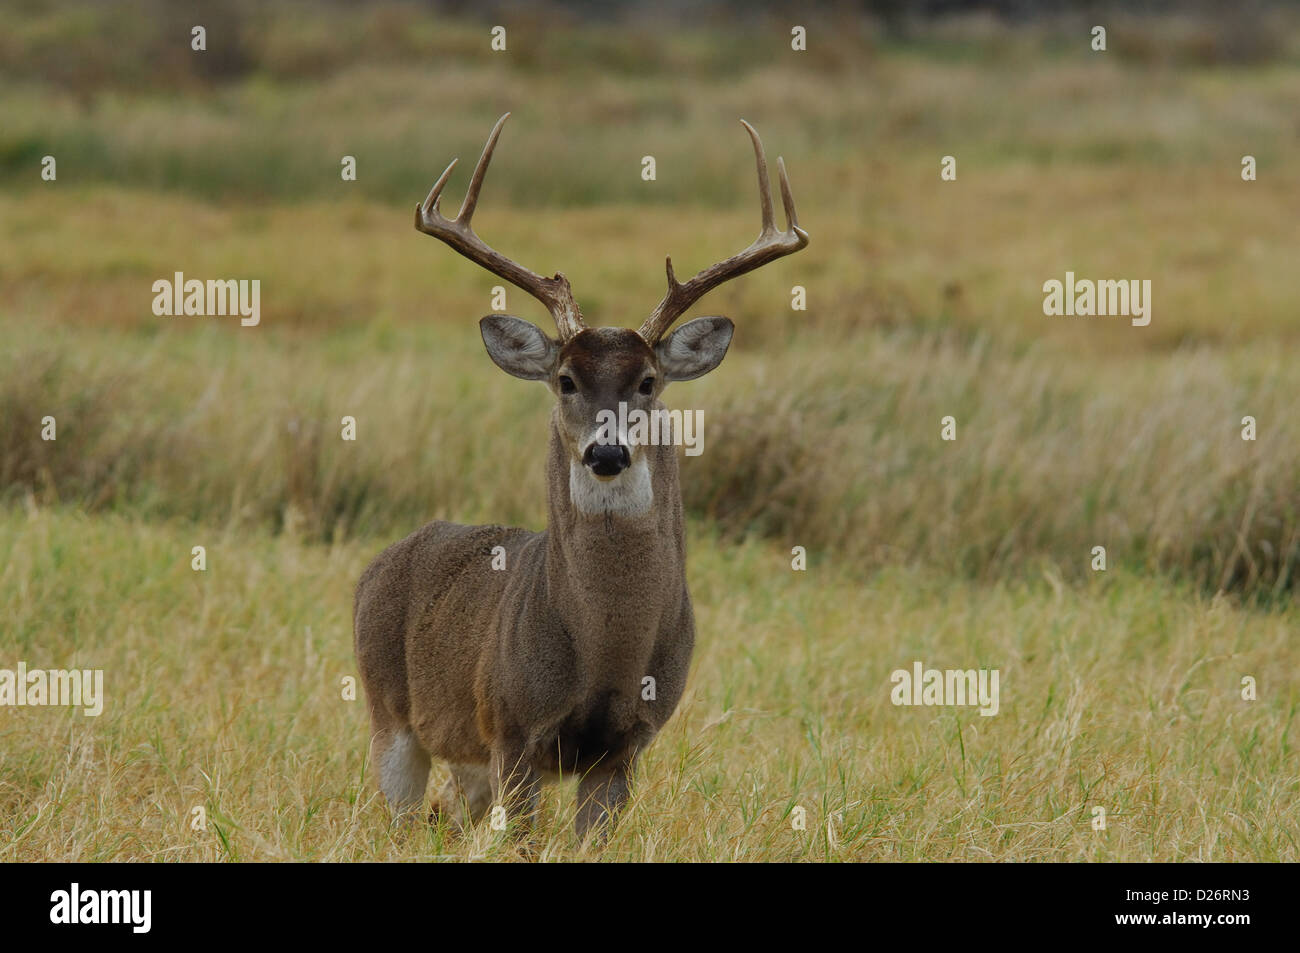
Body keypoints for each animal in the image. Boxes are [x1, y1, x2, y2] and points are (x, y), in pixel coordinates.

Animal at [353, 113, 800, 842]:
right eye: (565, 379)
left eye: (647, 381)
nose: (606, 453)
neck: (606, 651)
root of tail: (381, 561)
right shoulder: (511, 727)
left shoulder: (627, 745)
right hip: (389, 713)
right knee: (400, 814)